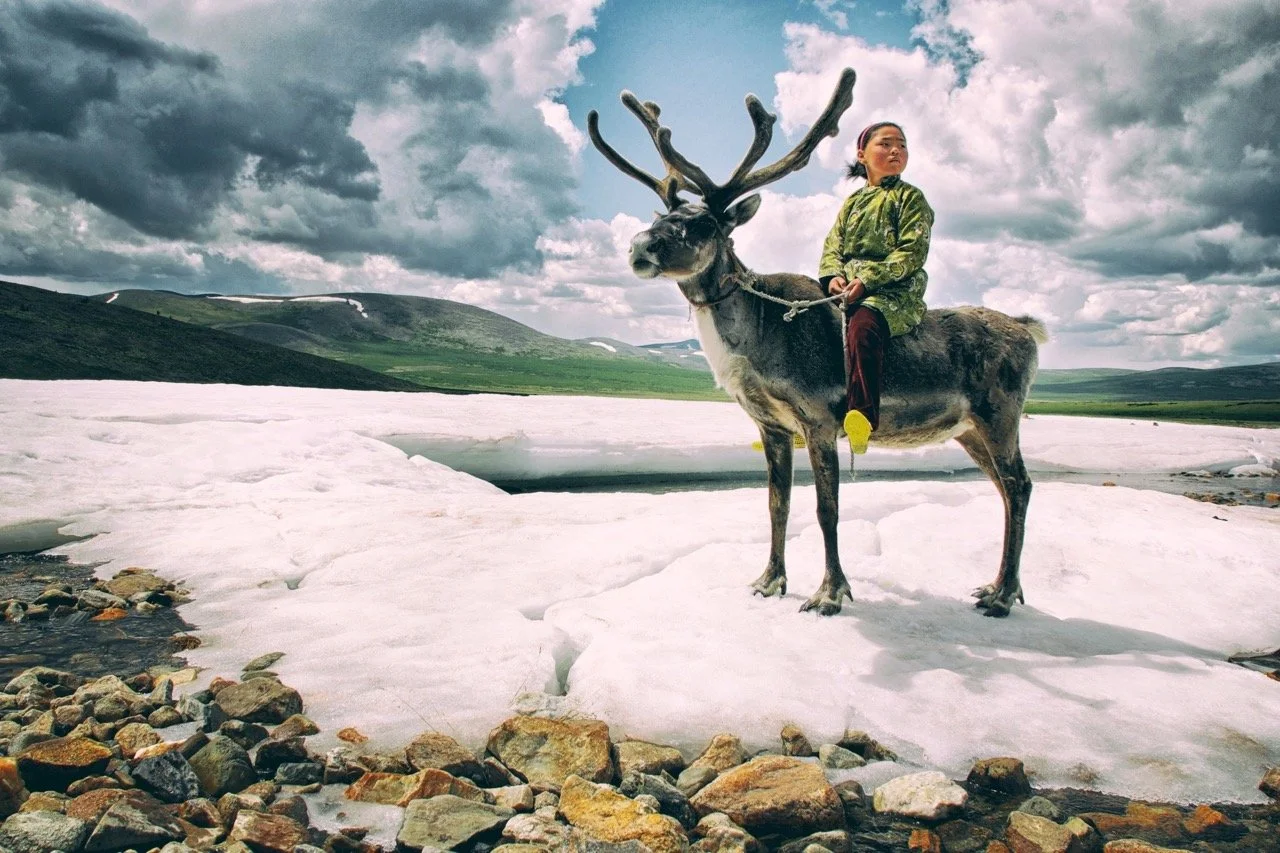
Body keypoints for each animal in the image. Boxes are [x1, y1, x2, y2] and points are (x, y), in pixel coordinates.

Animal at [587, 68, 1047, 617]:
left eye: (703, 223)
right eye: (658, 218)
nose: (639, 247)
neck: (761, 333)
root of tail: (1028, 330)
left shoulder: (820, 420)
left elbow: (827, 508)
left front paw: (830, 593)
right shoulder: (771, 426)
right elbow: (776, 504)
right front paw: (769, 581)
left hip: (1000, 414)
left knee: (1020, 485)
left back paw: (1002, 596)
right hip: (969, 428)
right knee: (1004, 488)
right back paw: (1000, 586)